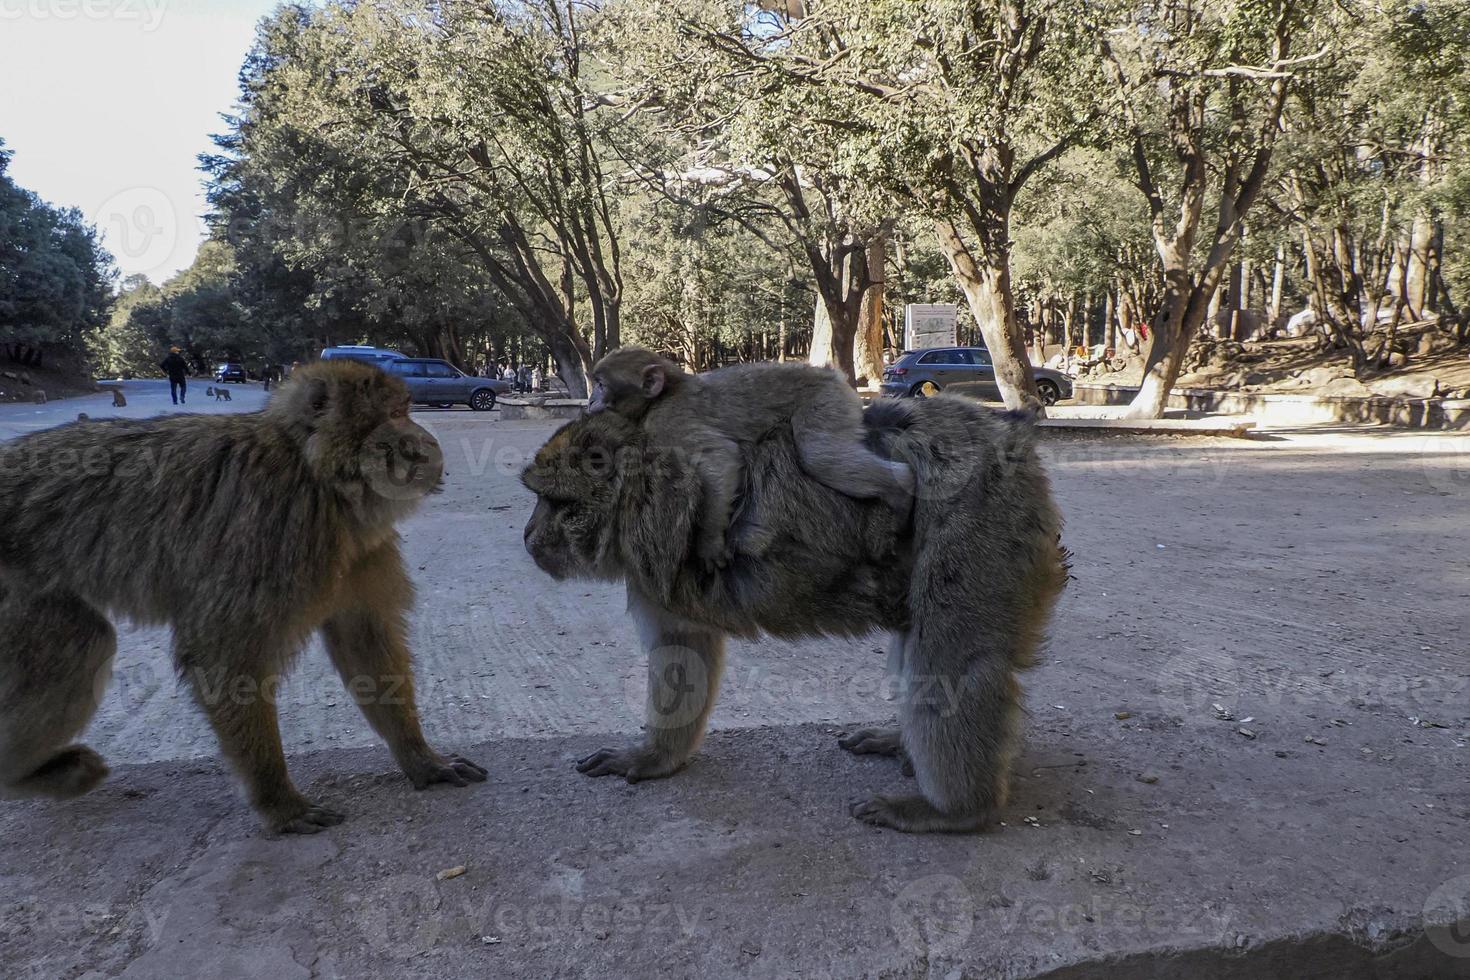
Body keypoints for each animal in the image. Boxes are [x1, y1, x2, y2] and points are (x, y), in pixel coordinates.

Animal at [2, 359, 490, 834]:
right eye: (396, 414)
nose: (426, 440)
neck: (316, 477)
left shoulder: (360, 545)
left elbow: (363, 638)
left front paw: (420, 757)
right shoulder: (273, 527)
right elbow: (223, 655)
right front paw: (279, 801)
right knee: (79, 644)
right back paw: (19, 775)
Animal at [526, 393, 1070, 834]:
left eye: (552, 501)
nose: (528, 537)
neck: (634, 492)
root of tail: (1007, 432)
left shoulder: (655, 534)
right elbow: (683, 647)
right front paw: (656, 757)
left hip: (975, 515)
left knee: (948, 658)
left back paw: (958, 810)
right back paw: (904, 744)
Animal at [588, 351, 911, 567]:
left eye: (601, 385)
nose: (590, 400)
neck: (662, 396)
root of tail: (833, 375)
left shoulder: (668, 420)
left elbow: (721, 458)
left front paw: (709, 542)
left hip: (827, 400)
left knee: (821, 455)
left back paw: (901, 488)